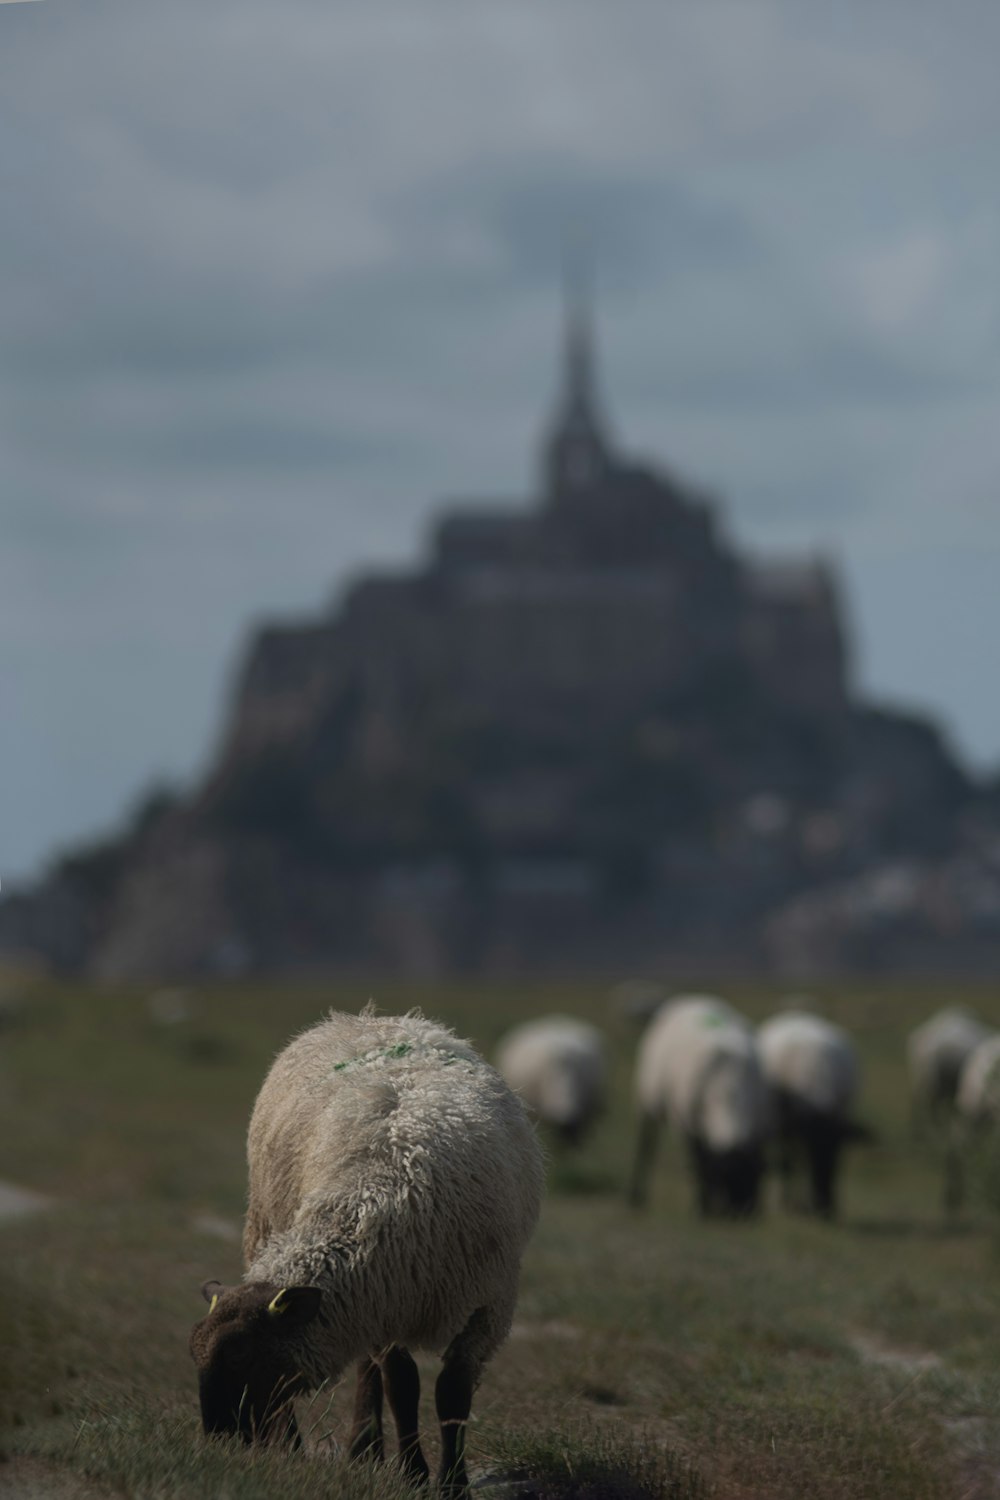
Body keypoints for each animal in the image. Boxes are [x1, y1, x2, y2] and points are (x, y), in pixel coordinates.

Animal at [190, 1008, 542, 1488]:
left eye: (242, 1353)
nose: (218, 1441)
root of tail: (365, 1017)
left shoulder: (486, 1306)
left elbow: (452, 1393)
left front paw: (452, 1483)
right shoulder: (385, 1301)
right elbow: (402, 1384)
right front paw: (414, 1474)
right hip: (268, 1225)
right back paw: (328, 1447)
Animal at [629, 996, 773, 1218]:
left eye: (754, 1176)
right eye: (726, 1178)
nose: (742, 1213)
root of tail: (691, 997)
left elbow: (706, 1163)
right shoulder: (688, 1126)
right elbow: (699, 1165)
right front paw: (703, 1207)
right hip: (647, 1099)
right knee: (645, 1145)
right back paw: (635, 1195)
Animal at [758, 1008, 869, 1218]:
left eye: (835, 1161)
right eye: (814, 1159)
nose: (824, 1209)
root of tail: (797, 1013)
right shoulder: (786, 1125)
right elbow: (791, 1163)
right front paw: (788, 1205)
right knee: (787, 1160)